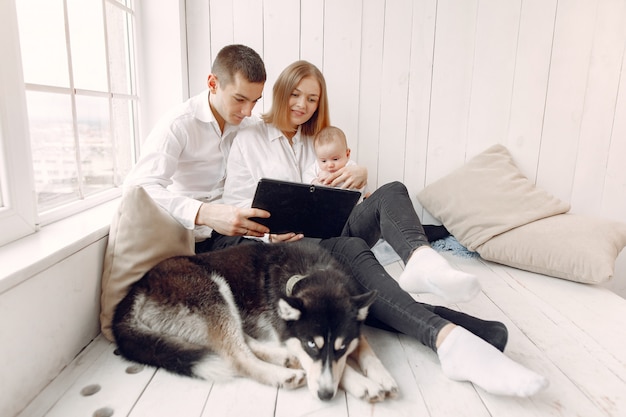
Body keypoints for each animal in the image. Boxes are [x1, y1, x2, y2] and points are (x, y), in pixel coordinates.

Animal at [112, 242, 394, 402]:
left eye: (342, 347)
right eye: (311, 345)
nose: (325, 396)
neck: (313, 272)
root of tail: (136, 289)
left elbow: (364, 348)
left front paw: (382, 375)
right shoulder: (290, 335)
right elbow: (332, 367)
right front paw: (362, 383)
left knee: (241, 341)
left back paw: (282, 358)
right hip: (213, 291)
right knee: (237, 356)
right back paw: (281, 373)